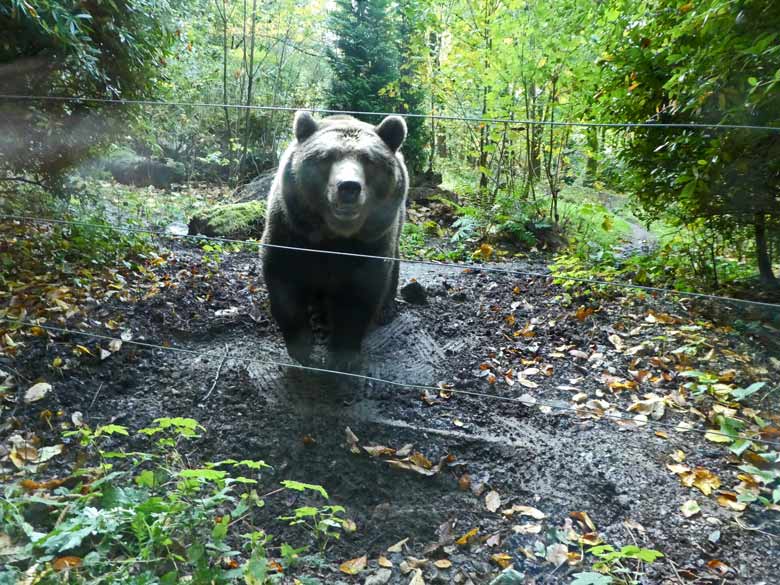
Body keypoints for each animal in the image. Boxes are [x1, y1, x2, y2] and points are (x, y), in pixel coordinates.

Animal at [262, 112, 408, 372]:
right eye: (326, 157)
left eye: (369, 160)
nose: (349, 187)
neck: (334, 236)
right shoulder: (290, 230)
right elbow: (284, 282)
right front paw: (303, 347)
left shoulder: (369, 244)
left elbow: (360, 293)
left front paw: (343, 354)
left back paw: (386, 310)